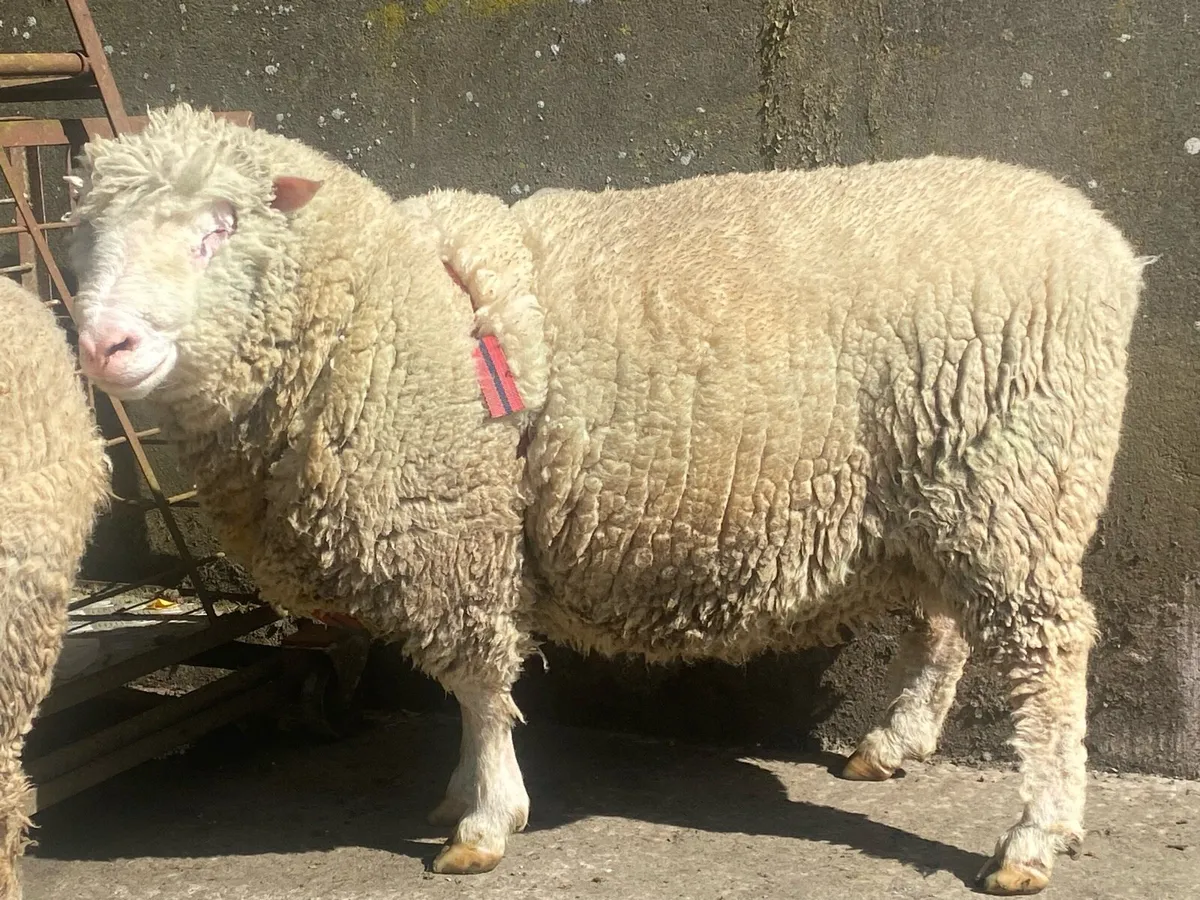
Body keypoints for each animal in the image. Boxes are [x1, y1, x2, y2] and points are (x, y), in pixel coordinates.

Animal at [65, 103, 1146, 896]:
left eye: (220, 229)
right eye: (92, 239)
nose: (102, 344)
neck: (405, 310)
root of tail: (1103, 242)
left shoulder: (463, 537)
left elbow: (478, 685)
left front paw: (485, 817)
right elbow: (470, 691)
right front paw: (461, 792)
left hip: (1016, 479)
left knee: (1049, 653)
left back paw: (1034, 835)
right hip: (945, 494)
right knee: (950, 626)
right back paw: (895, 744)